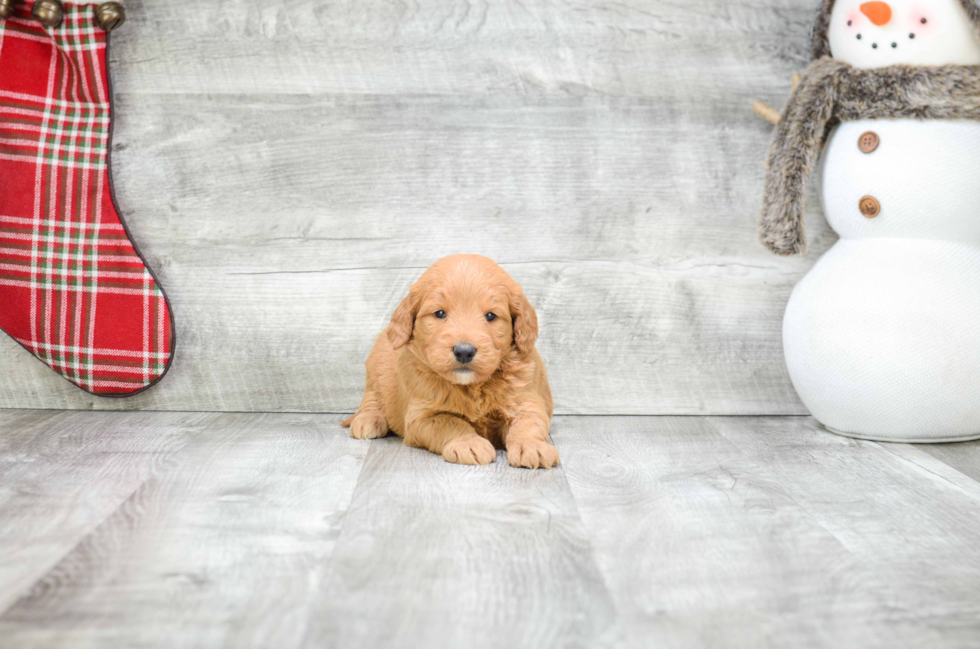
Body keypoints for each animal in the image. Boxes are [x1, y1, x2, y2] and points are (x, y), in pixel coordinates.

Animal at [344, 251, 560, 468]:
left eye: (491, 316)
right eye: (440, 313)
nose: (464, 351)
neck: (472, 387)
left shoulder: (525, 399)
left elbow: (529, 423)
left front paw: (531, 446)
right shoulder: (421, 416)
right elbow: (451, 423)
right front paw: (468, 443)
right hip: (375, 368)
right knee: (372, 397)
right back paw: (368, 420)